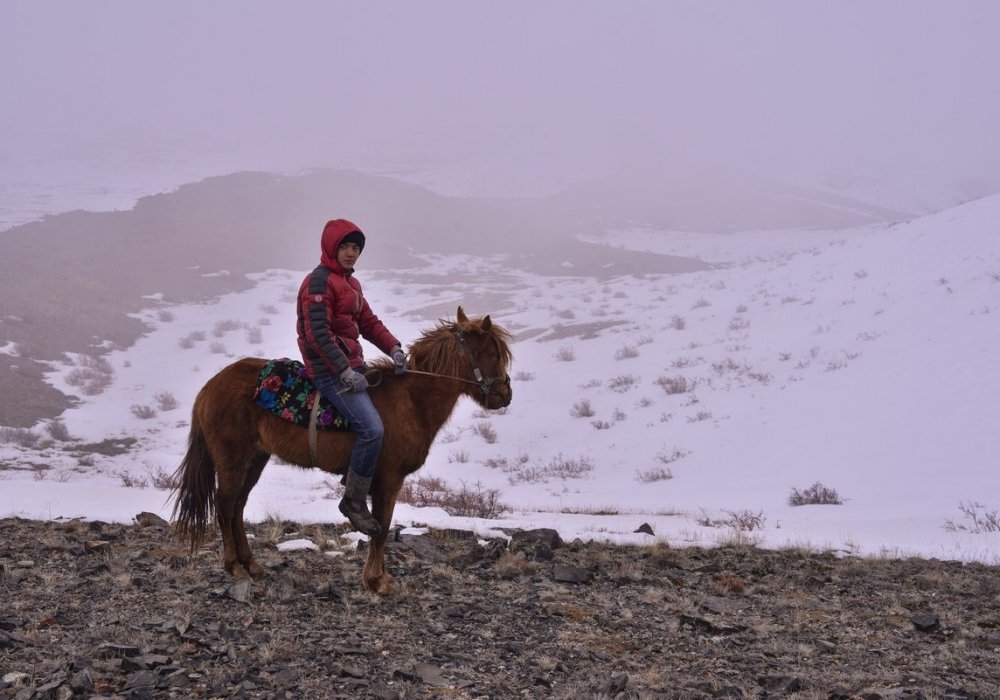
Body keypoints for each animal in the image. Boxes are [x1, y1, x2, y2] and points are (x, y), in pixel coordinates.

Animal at [172, 306, 512, 592]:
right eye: (493, 353)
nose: (505, 394)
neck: (413, 401)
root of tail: (210, 387)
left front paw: (377, 577)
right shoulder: (389, 479)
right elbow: (381, 526)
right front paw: (377, 580)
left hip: (255, 459)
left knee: (238, 506)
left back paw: (251, 565)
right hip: (233, 460)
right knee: (225, 505)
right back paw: (234, 567)